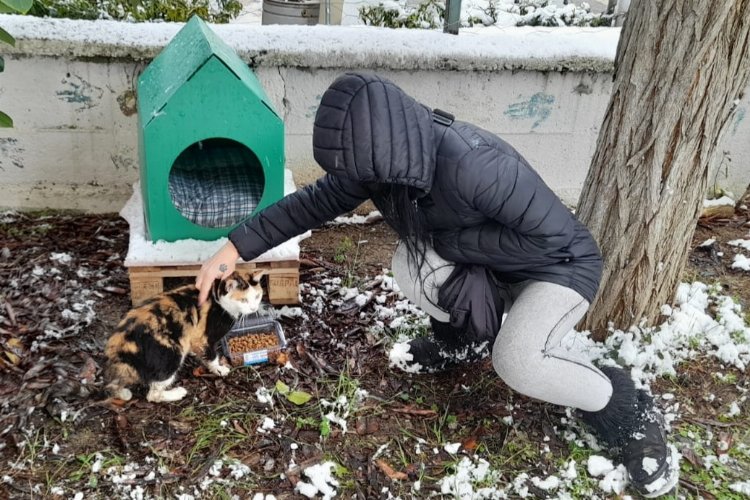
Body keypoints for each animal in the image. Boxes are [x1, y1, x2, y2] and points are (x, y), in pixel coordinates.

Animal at [104, 270, 266, 402]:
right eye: (243, 300)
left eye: (257, 296)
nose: (254, 308)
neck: (216, 299)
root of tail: (120, 344)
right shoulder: (203, 337)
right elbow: (212, 356)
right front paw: (219, 369)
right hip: (170, 354)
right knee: (152, 395)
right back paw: (177, 393)